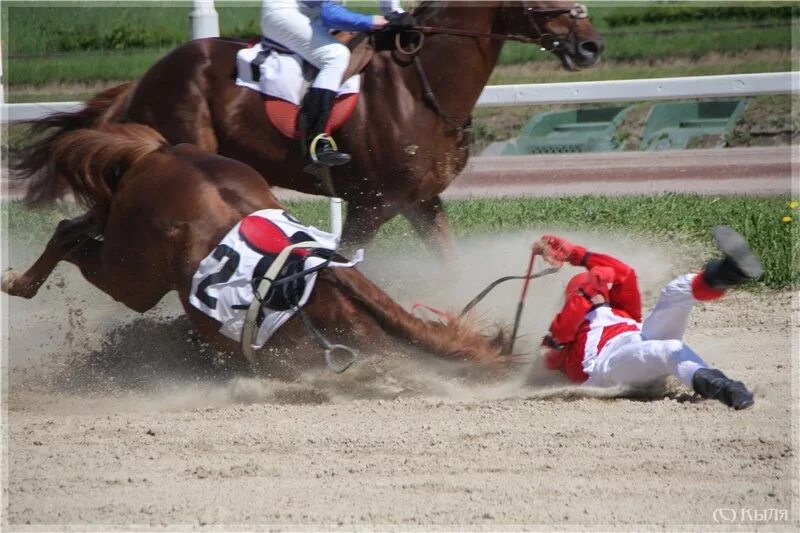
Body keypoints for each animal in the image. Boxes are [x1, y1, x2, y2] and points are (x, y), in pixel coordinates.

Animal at [1, 123, 512, 378]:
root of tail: (158, 153)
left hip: (123, 237)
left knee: (79, 226)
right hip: (133, 276)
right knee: (72, 238)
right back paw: (19, 283)